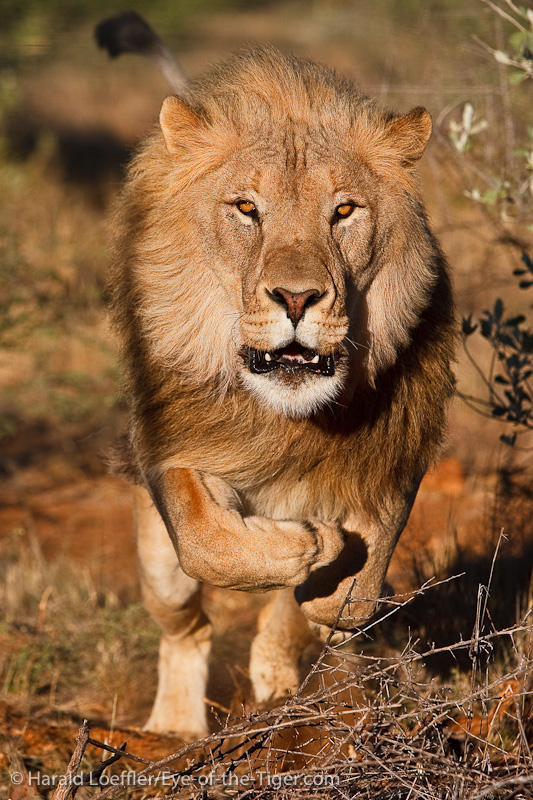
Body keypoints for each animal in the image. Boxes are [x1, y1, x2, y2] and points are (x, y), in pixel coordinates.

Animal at [102, 12, 456, 740]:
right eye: (246, 208)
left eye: (343, 211)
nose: (296, 298)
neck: (292, 417)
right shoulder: (178, 449)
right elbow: (211, 541)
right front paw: (310, 542)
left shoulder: (393, 460)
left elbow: (342, 599)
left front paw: (325, 581)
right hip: (156, 563)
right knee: (186, 622)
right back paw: (175, 726)